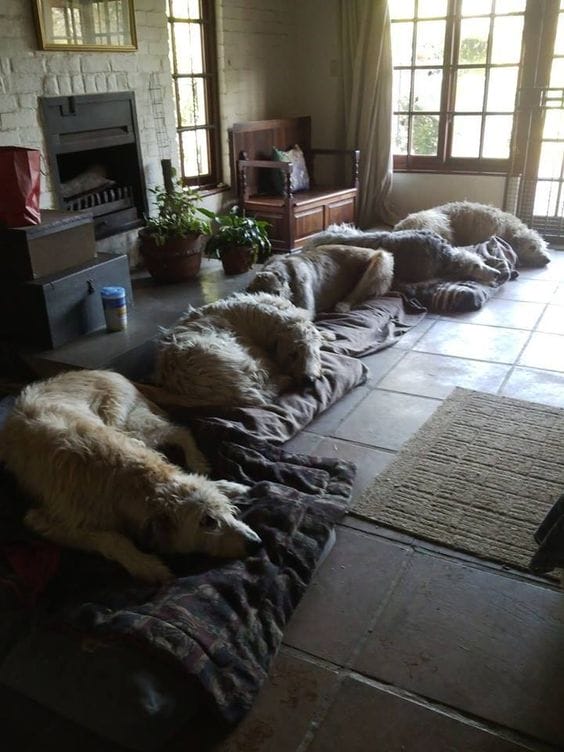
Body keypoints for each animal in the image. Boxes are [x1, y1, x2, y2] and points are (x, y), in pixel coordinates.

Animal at [0, 370, 261, 584]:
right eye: (207, 521)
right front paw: (146, 565)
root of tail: (108, 371)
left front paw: (224, 487)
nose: (256, 544)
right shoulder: (42, 520)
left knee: (180, 430)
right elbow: (113, 538)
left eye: (227, 511)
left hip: (128, 424)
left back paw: (198, 461)